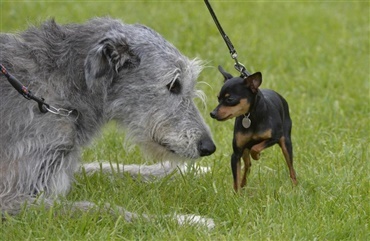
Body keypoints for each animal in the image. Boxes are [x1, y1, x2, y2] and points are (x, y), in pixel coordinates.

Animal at [0, 17, 215, 227]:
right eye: (173, 85)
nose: (208, 147)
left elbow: (108, 167)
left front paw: (185, 171)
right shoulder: (9, 197)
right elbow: (100, 209)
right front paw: (184, 220)